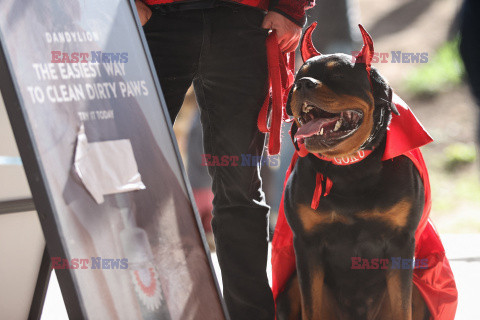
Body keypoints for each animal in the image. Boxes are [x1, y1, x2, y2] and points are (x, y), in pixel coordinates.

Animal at [276, 23, 430, 318]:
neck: (349, 169)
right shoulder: (306, 245)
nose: (302, 83)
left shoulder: (401, 241)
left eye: (338, 74)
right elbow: (311, 306)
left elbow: (402, 305)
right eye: (298, 75)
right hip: (288, 290)